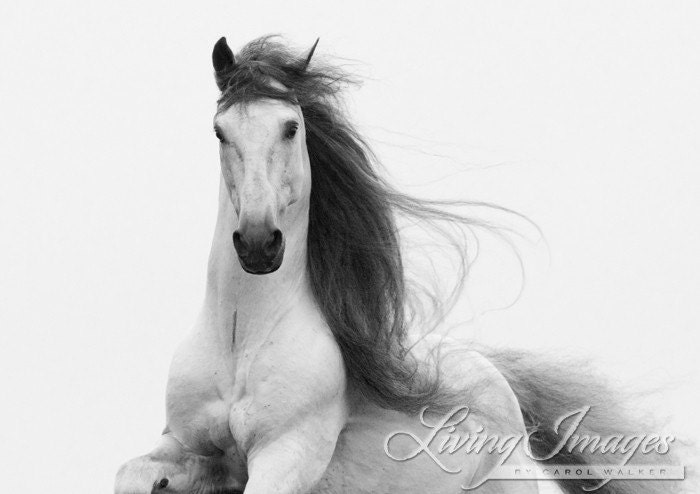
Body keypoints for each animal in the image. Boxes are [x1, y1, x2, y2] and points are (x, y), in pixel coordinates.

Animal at [114, 36, 685, 494]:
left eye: (291, 127)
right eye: (220, 132)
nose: (258, 244)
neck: (241, 339)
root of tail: (497, 382)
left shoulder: (282, 460)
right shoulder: (192, 450)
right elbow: (132, 472)